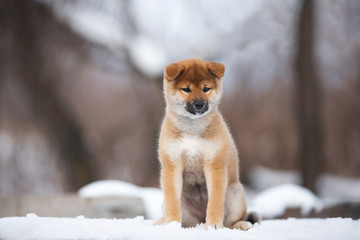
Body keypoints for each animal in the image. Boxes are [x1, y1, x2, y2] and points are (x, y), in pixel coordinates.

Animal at [156, 59, 258, 230]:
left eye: (206, 88)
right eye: (186, 89)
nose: (199, 104)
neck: (192, 129)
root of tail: (200, 219)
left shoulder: (214, 164)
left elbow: (215, 202)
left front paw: (214, 225)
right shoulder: (172, 165)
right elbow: (172, 203)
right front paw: (171, 225)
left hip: (235, 195)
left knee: (231, 222)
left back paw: (241, 224)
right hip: (180, 208)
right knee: (187, 221)